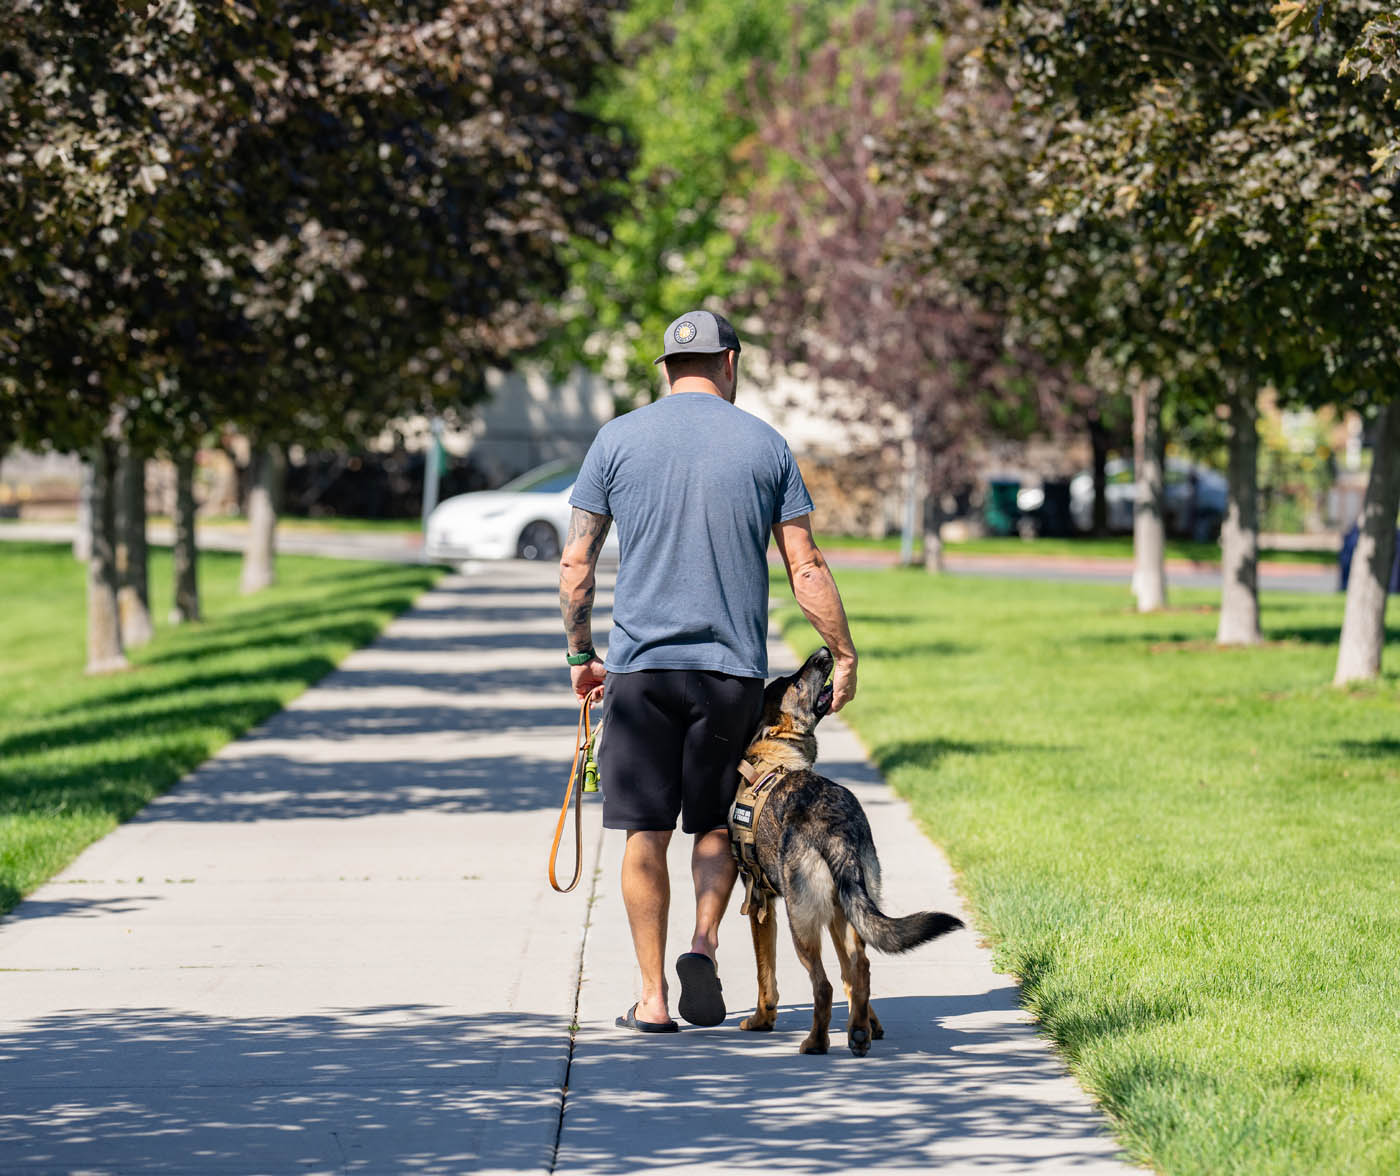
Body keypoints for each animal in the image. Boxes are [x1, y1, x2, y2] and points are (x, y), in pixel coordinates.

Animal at [733, 646, 963, 1058]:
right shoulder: (839, 913)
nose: (824, 652)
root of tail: (835, 827)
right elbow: (851, 976)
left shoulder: (760, 903)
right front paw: (870, 1024)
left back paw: (815, 1042)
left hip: (801, 921)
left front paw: (761, 1021)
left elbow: (765, 976)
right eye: (794, 683)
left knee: (822, 984)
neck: (774, 756)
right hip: (850, 908)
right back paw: (858, 1031)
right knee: (861, 968)